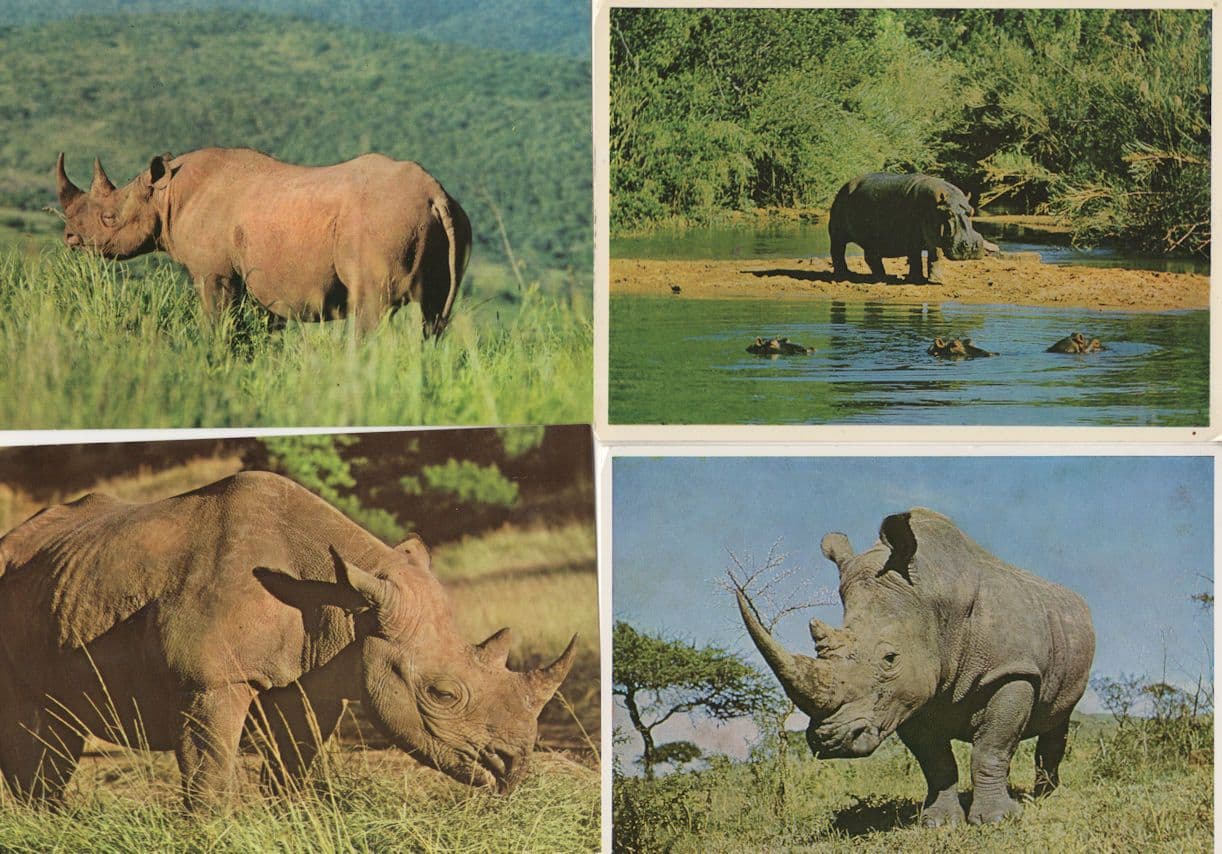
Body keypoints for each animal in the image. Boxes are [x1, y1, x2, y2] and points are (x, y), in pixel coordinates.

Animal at [0, 472, 576, 809]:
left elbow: (289, 770)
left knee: (56, 735)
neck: (347, 598)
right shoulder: (212, 680)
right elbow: (209, 781)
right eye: (443, 694)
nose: (513, 767)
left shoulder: (311, 681)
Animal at [55, 148, 471, 336]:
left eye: (109, 218)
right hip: (453, 220)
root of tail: (434, 193)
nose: (71, 238)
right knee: (433, 317)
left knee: (370, 306)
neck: (166, 194)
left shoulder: (213, 273)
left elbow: (216, 320)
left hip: (381, 220)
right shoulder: (261, 279)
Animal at [736, 508, 1095, 827]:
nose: (830, 741)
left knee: (1057, 721)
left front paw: (997, 820)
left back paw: (1043, 798)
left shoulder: (1011, 671)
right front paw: (939, 823)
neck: (933, 601)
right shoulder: (906, 695)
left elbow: (991, 749)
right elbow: (936, 761)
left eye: (890, 659)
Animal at [829, 173, 998, 284]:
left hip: (872, 239)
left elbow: (932, 256)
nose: (971, 245)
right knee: (838, 252)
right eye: (948, 213)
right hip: (837, 233)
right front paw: (920, 280)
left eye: (971, 211)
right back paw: (844, 276)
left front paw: (933, 280)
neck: (937, 205)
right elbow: (919, 257)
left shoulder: (932, 237)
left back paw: (883, 277)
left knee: (872, 257)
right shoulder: (915, 238)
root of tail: (844, 186)